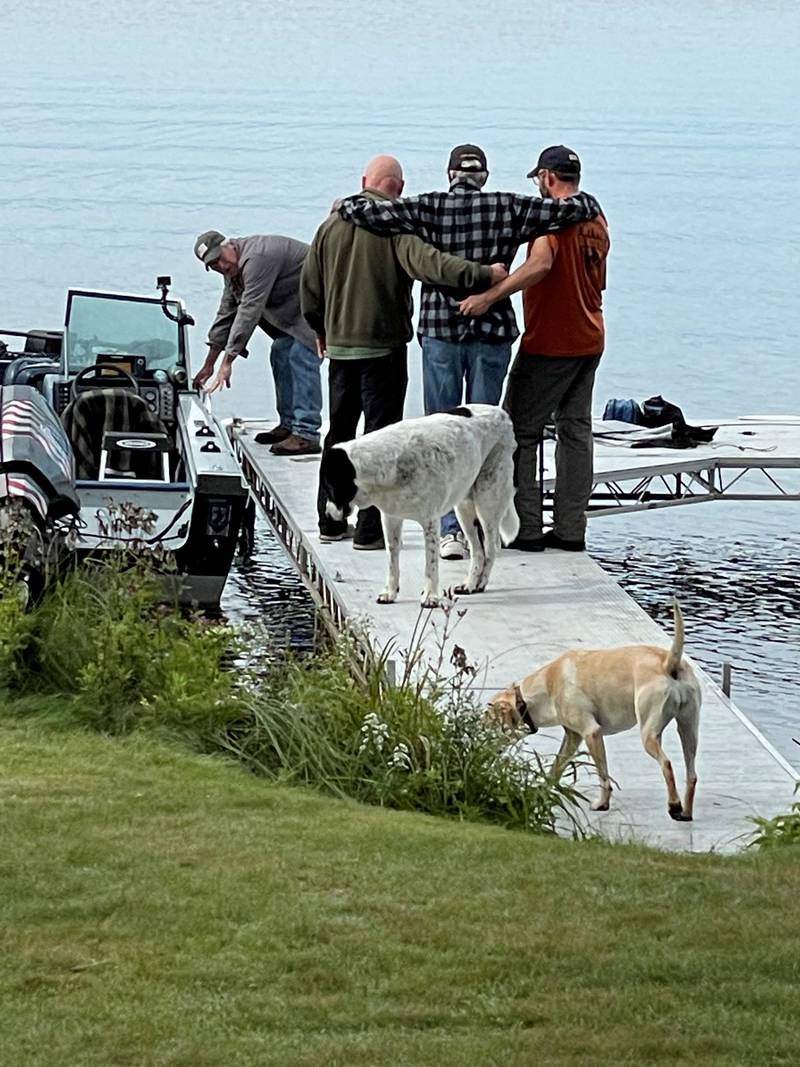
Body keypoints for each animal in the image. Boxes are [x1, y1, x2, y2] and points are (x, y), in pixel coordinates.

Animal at [320, 405, 520, 610]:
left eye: (328, 488)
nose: (327, 513)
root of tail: (502, 414)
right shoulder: (391, 518)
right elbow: (392, 559)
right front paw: (390, 593)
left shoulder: (430, 522)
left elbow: (430, 564)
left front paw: (431, 596)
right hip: (464, 508)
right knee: (477, 550)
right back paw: (469, 584)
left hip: (487, 502)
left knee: (490, 548)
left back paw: (481, 583)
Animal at [488, 606, 699, 819]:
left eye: (488, 722)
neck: (546, 685)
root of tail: (668, 663)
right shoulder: (572, 737)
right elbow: (556, 767)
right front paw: (542, 791)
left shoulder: (591, 733)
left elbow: (603, 777)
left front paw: (602, 804)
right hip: (688, 730)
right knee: (692, 775)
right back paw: (686, 813)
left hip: (649, 733)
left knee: (666, 764)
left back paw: (674, 805)